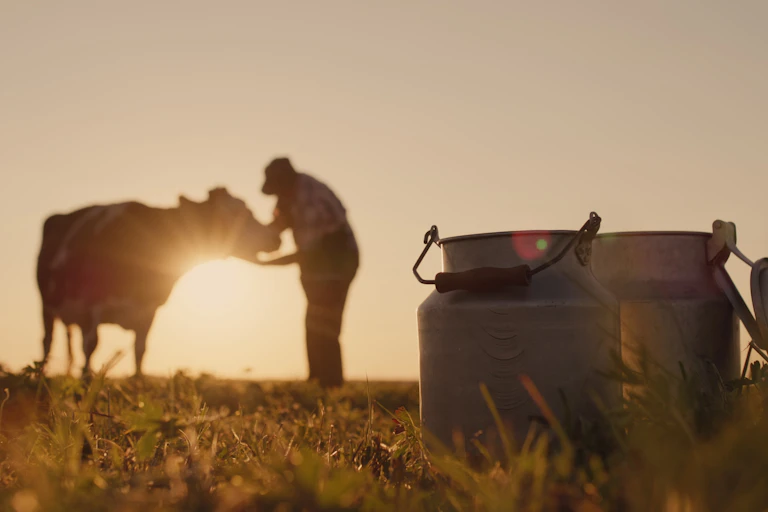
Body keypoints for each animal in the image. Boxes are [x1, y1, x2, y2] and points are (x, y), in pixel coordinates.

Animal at [36, 187, 281, 376]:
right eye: (235, 213)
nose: (274, 237)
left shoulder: (148, 310)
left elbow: (140, 351)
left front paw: (138, 383)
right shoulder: (92, 304)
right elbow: (91, 347)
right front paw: (85, 385)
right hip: (47, 305)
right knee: (47, 342)